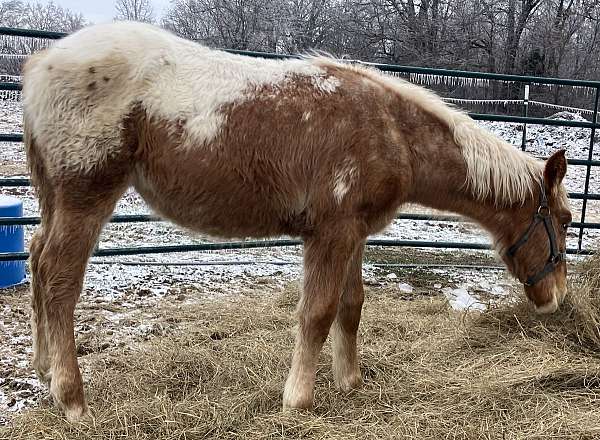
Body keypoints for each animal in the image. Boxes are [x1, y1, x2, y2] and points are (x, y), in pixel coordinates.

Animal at [19, 21, 572, 422]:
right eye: (565, 220)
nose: (557, 301)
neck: (393, 132)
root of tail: (41, 61)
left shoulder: (354, 233)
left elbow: (351, 305)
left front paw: (350, 381)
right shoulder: (330, 233)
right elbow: (318, 312)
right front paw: (298, 400)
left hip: (55, 199)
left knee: (37, 261)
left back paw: (43, 371)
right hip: (85, 197)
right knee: (60, 280)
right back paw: (72, 399)